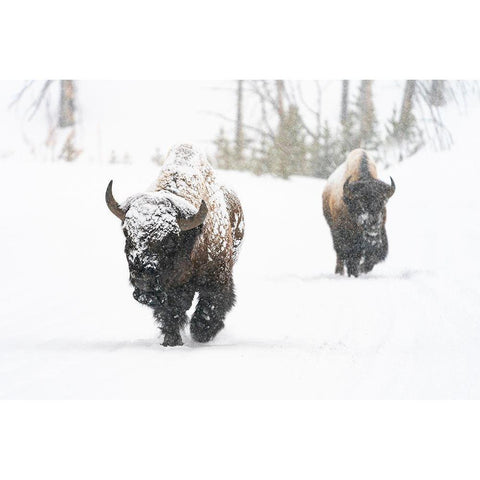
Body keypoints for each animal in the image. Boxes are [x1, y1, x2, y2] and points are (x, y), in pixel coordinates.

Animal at [104, 142, 244, 344]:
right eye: (126, 233)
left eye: (170, 240)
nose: (143, 278)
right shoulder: (169, 290)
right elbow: (171, 312)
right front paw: (172, 341)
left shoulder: (217, 278)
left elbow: (210, 306)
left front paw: (200, 333)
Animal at [324, 149, 396, 278]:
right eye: (359, 203)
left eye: (382, 203)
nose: (373, 225)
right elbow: (351, 257)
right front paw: (354, 272)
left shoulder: (380, 236)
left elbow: (373, 257)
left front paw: (362, 269)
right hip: (333, 230)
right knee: (340, 254)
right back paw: (339, 272)